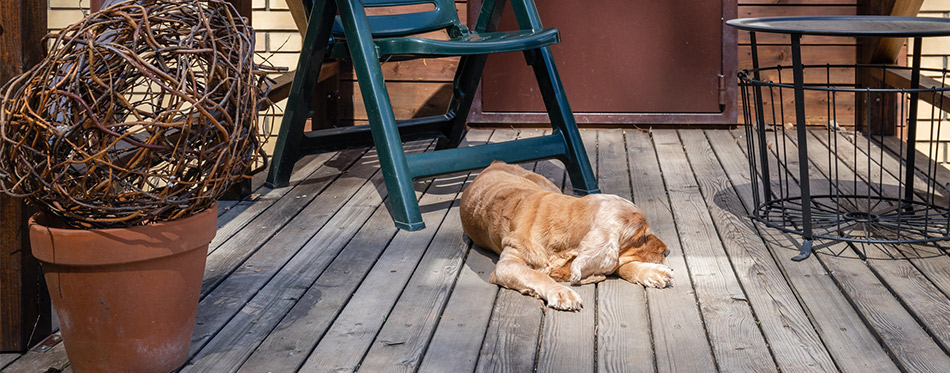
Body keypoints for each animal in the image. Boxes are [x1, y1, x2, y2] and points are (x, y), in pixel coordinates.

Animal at [462, 161, 672, 310]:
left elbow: (619, 263)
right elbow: (537, 276)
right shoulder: (507, 264)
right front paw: (562, 293)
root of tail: (494, 162)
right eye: (641, 238)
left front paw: (654, 272)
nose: (667, 251)